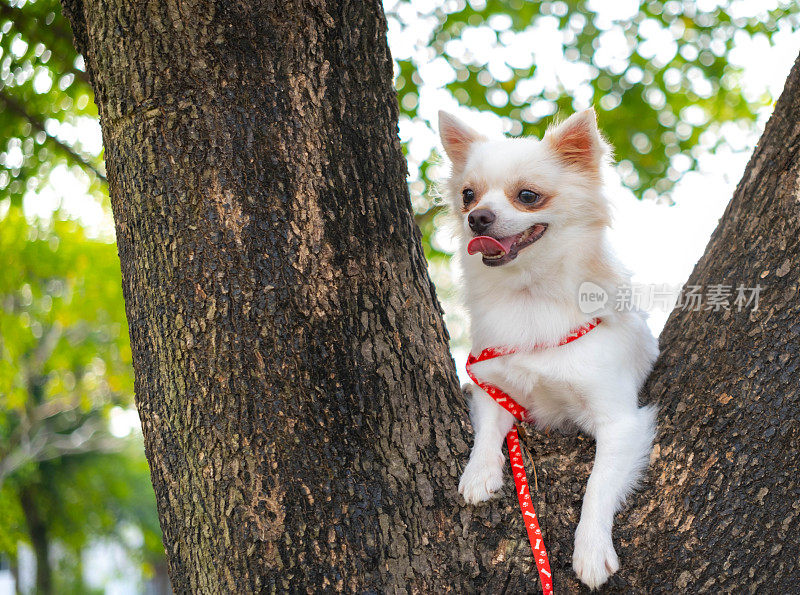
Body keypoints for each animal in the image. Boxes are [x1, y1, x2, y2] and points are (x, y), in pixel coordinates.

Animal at [440, 108, 660, 592]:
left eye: (528, 196)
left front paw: (591, 550)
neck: (531, 295)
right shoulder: (490, 382)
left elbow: (598, 484)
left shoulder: (621, 422)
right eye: (467, 195)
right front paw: (479, 473)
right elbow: (490, 429)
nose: (477, 218)